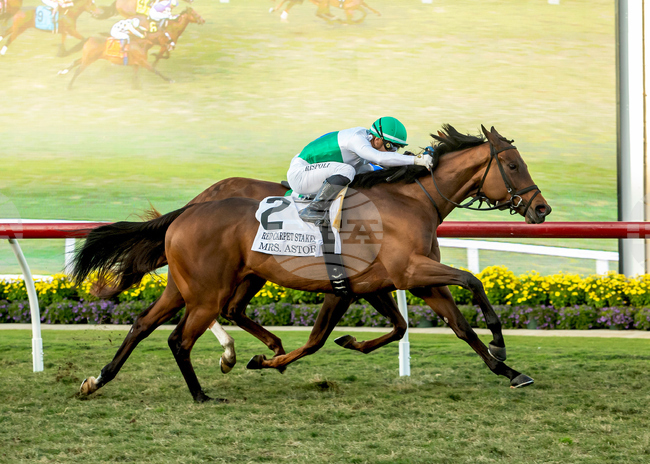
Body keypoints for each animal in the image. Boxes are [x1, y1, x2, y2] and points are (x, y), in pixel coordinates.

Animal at [58, 7, 203, 89]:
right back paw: (69, 86)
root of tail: (90, 37)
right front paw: (169, 79)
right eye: (195, 14)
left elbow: (136, 76)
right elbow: (156, 69)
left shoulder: (137, 63)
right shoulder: (144, 61)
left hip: (90, 57)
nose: (203, 20)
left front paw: (136, 87)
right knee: (78, 69)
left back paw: (63, 72)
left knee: (75, 62)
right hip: (89, 59)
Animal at [73, 124, 551, 402]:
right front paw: (500, 344)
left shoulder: (380, 284)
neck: (412, 201)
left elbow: (444, 327)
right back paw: (203, 392)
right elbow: (472, 282)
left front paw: (509, 371)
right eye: (513, 165)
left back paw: (97, 381)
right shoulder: (409, 272)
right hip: (207, 292)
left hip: (189, 286)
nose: (542, 208)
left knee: (143, 325)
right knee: (180, 338)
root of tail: (187, 211)